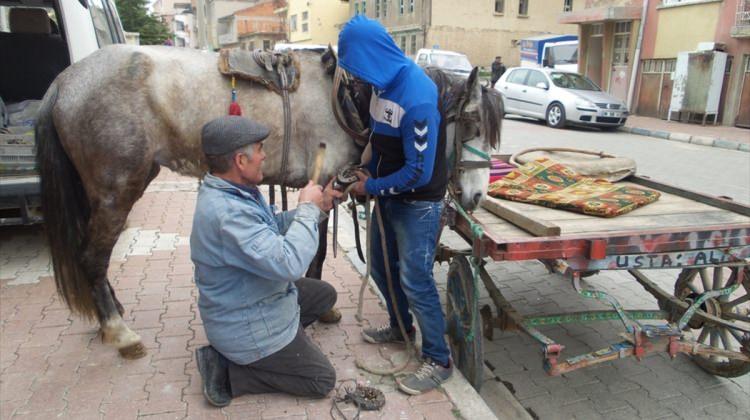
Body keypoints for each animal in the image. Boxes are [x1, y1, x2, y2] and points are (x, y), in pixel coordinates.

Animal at [36, 44, 506, 358]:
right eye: (469, 123)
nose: (476, 195)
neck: (352, 98)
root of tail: (62, 82)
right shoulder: (325, 182)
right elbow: (316, 252)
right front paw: (323, 310)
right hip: (116, 190)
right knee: (93, 257)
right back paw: (119, 330)